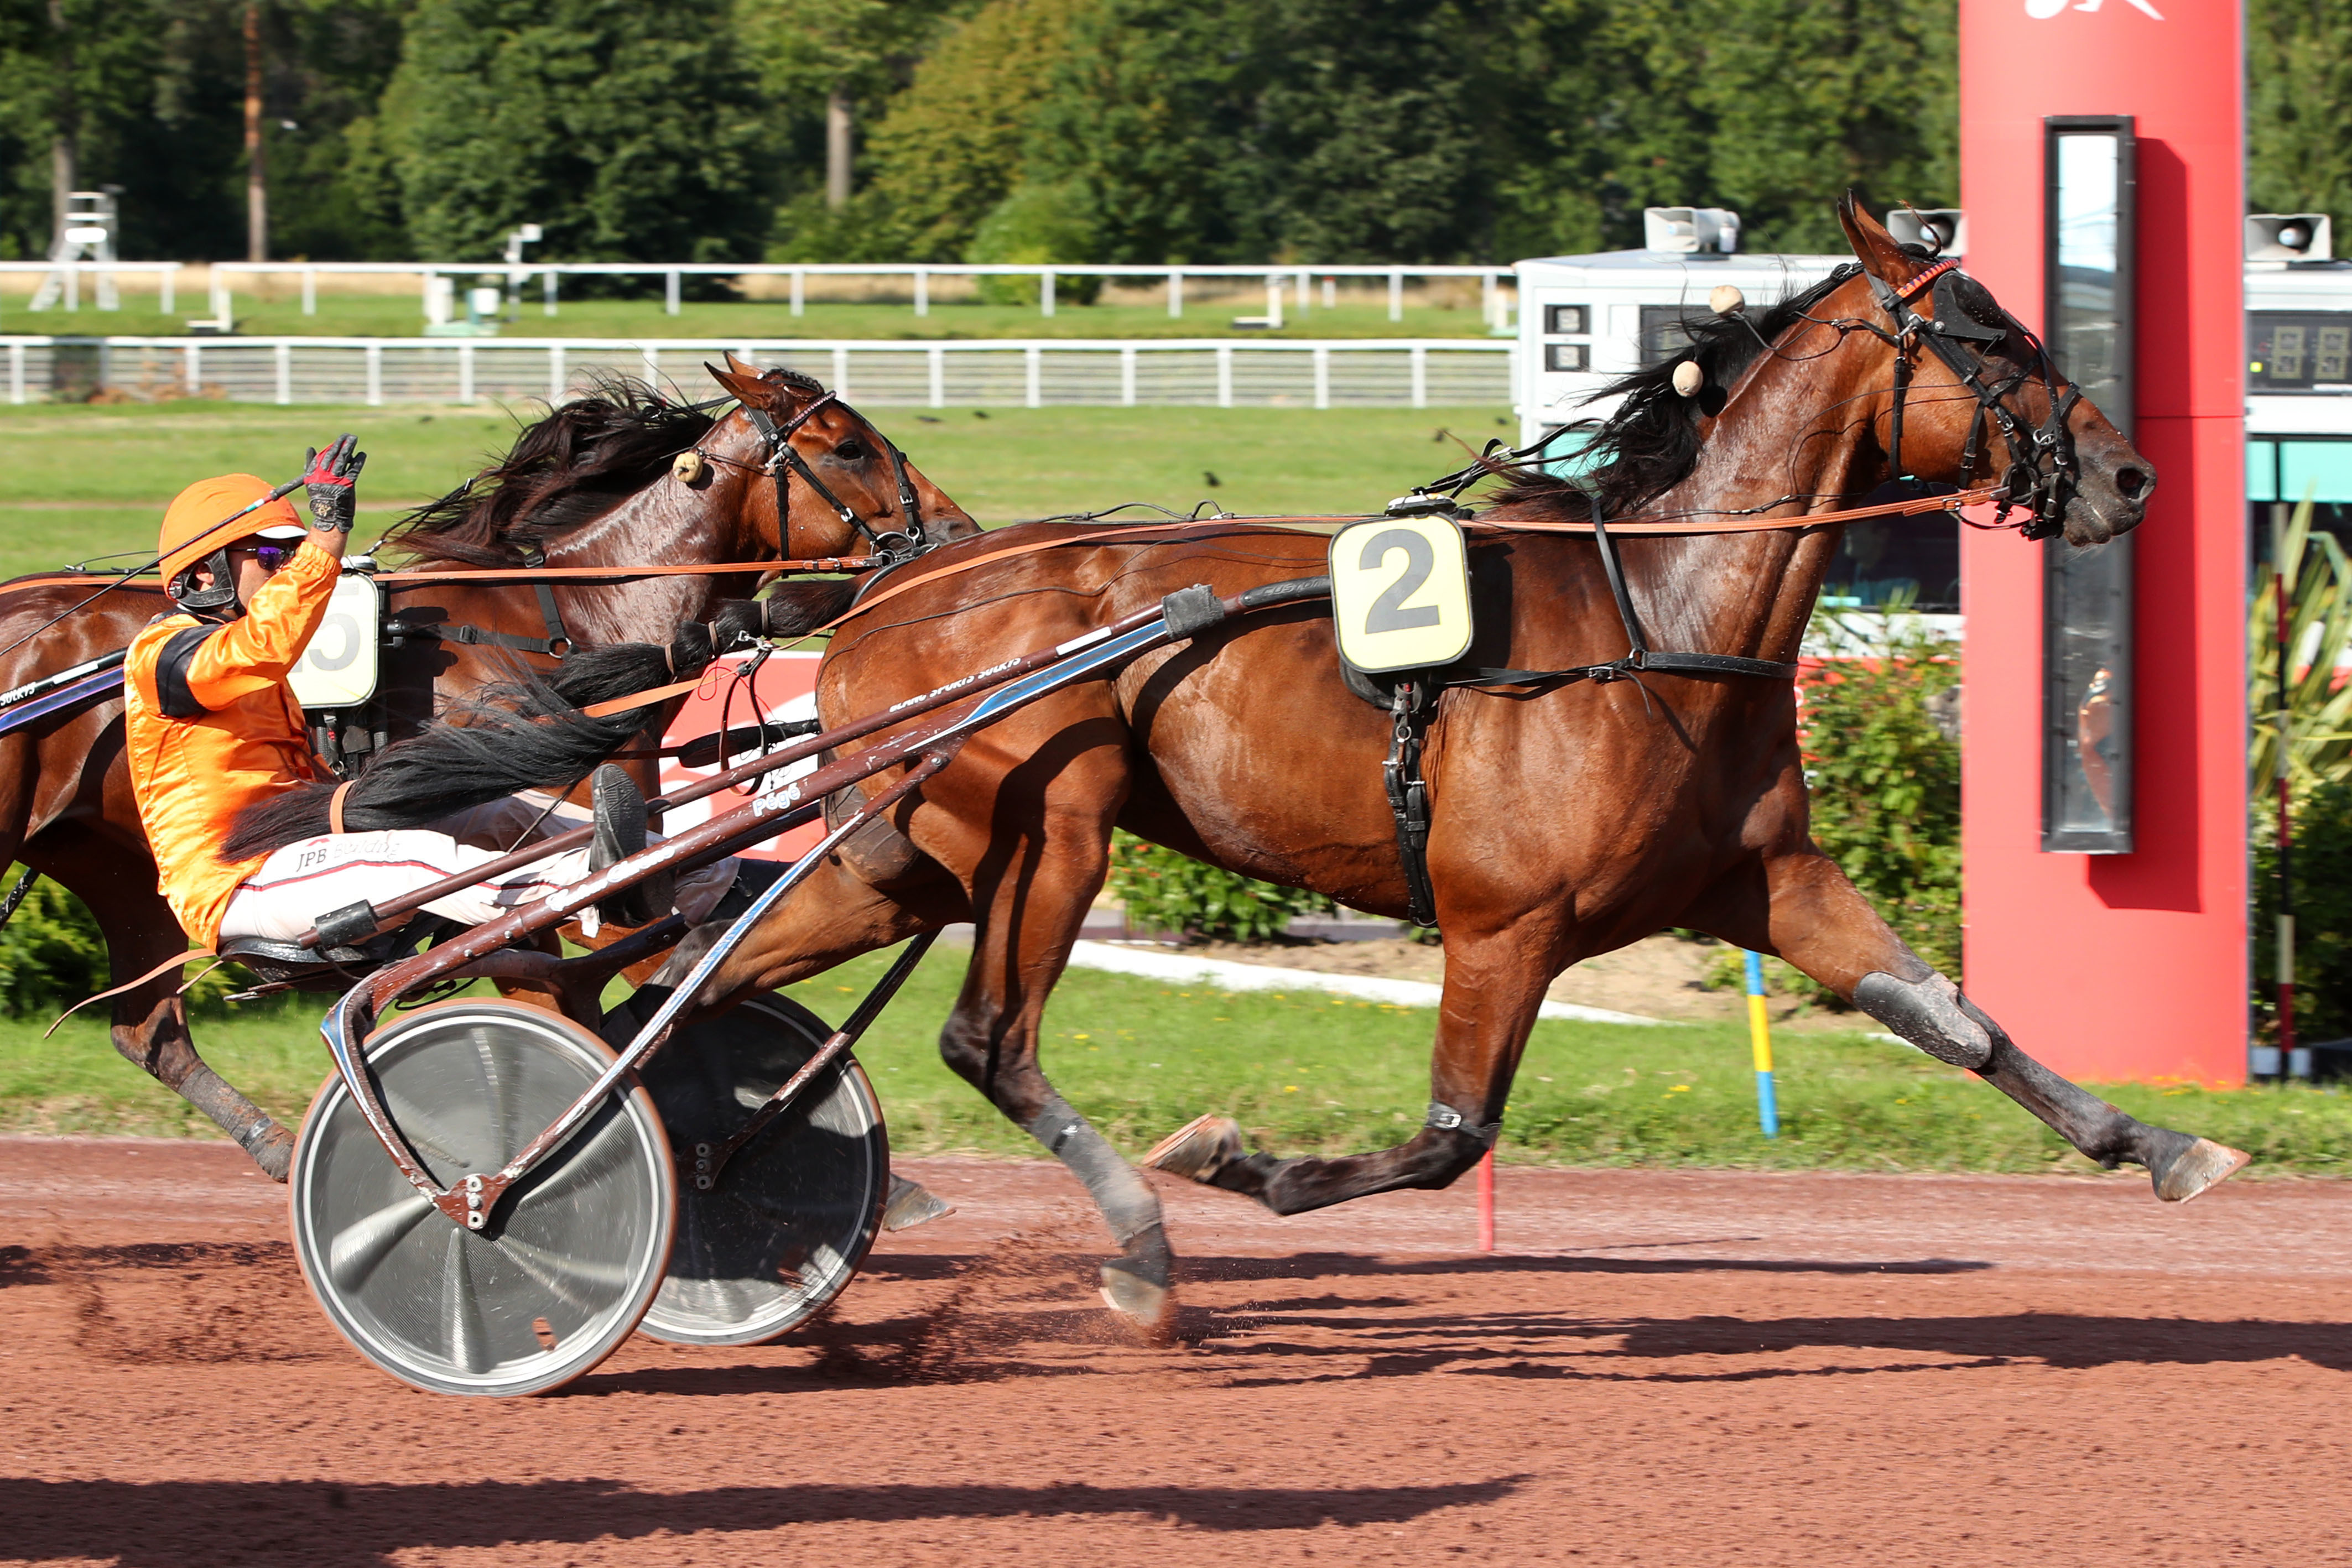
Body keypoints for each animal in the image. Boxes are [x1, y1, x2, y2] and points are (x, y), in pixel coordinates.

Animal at [673, 190, 2248, 1335]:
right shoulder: (1506, 924)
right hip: (1048, 830)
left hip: (903, 860)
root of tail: (894, 586)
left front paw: (2168, 1146)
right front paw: (1238, 1163)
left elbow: (1954, 1023)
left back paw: (707, 1172)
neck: (1659, 619)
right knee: (983, 1040)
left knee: (692, 980)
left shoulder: (1769, 880)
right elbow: (1449, 1135)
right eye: (1995, 343)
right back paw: (1139, 1248)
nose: (2129, 477)